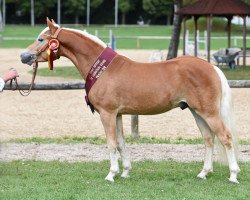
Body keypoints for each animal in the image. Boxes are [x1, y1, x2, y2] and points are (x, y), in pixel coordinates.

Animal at [21, 18, 240, 183]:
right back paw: (203, 173)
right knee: (208, 139)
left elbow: (111, 143)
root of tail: (212, 67)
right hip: (197, 112)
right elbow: (121, 142)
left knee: (225, 137)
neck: (103, 69)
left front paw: (111, 174)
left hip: (209, 113)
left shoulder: (107, 114)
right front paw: (125, 171)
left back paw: (233, 175)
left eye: (41, 38)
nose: (24, 56)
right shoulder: (117, 114)